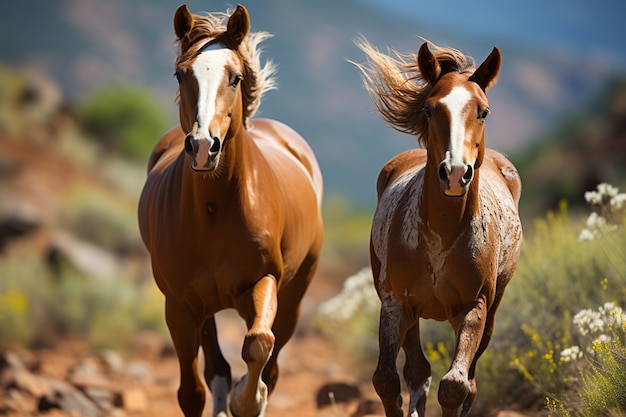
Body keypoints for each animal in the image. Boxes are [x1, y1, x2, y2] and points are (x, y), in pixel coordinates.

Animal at [136, 4, 322, 416]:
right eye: (180, 74)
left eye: (235, 78)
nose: (204, 147)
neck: (214, 210)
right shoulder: (180, 305)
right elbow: (192, 392)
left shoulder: (264, 281)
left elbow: (258, 344)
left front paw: (247, 400)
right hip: (205, 307)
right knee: (217, 369)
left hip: (294, 298)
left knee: (272, 364)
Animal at [356, 39, 520, 416]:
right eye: (430, 109)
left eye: (483, 112)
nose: (456, 173)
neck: (442, 236)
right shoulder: (395, 304)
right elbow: (387, 380)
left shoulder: (474, 308)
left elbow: (455, 386)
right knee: (418, 370)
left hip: (493, 309)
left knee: (470, 383)